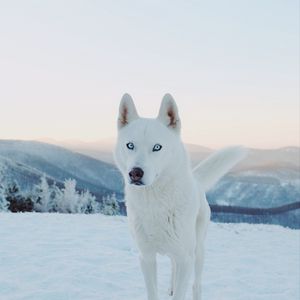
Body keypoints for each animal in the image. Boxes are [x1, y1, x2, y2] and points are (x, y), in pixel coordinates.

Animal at [113, 94, 247, 300]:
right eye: (130, 145)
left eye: (157, 147)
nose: (135, 173)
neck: (155, 203)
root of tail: (196, 180)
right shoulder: (146, 257)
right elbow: (153, 292)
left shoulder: (186, 258)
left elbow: (182, 291)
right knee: (173, 268)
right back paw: (171, 287)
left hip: (198, 252)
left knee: (196, 284)